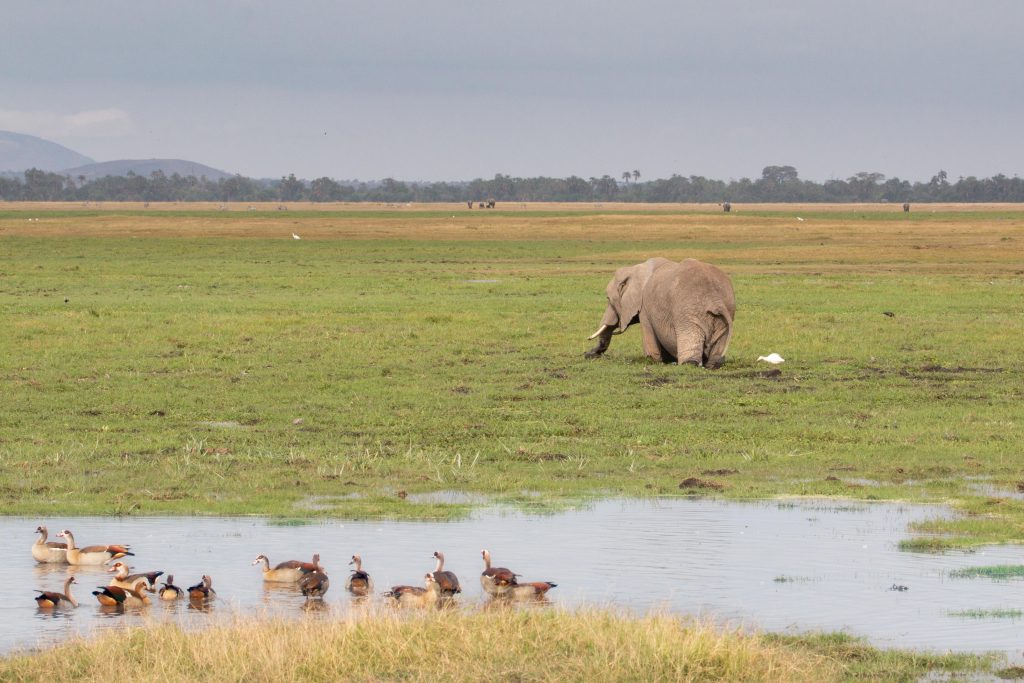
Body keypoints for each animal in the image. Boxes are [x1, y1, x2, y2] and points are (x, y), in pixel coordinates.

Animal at [584, 258, 736, 368]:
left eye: (608, 299)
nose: (587, 354)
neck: (637, 269)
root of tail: (715, 301)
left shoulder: (645, 306)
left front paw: (653, 360)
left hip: (688, 312)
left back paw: (689, 364)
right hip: (726, 312)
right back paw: (713, 364)